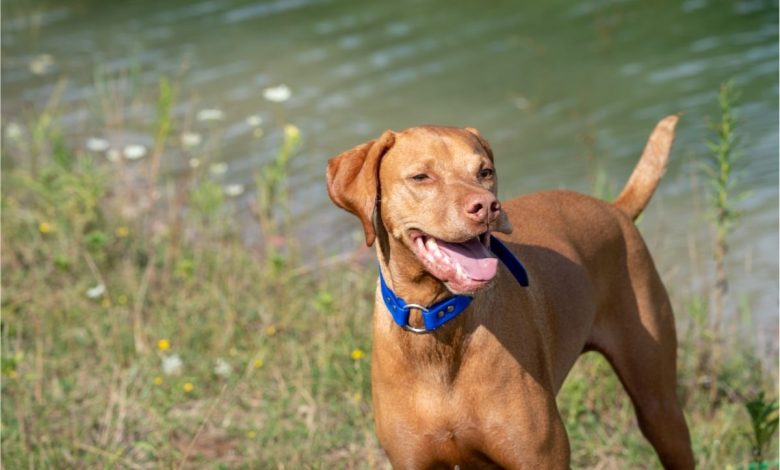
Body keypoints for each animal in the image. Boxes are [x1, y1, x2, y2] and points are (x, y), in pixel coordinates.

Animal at [326, 115, 692, 468]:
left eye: (485, 172)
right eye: (420, 177)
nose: (487, 206)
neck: (435, 323)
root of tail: (615, 208)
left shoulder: (542, 458)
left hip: (659, 407)